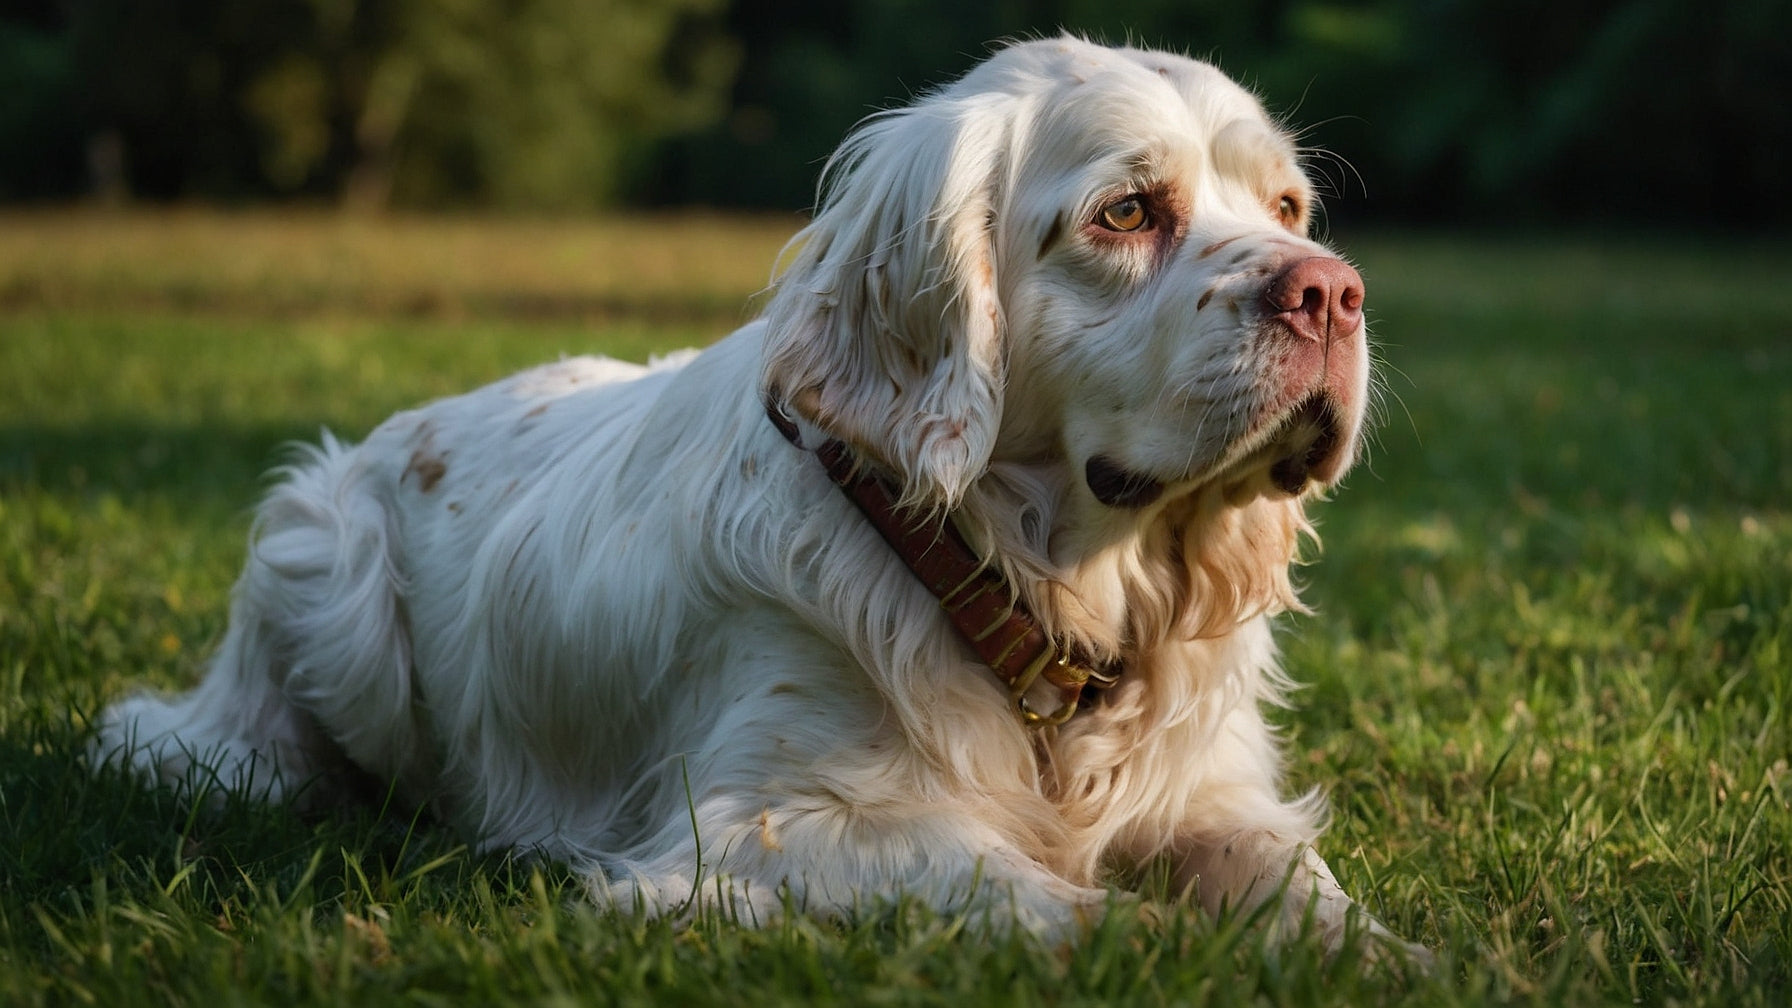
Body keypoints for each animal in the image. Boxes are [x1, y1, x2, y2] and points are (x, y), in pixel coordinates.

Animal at [98, 35, 1419, 954]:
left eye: (1288, 208)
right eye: (1127, 211)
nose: (1331, 292)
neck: (1035, 591)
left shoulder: (1219, 802)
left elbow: (1314, 902)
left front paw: (1388, 958)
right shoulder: (771, 824)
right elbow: (1052, 899)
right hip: (323, 575)